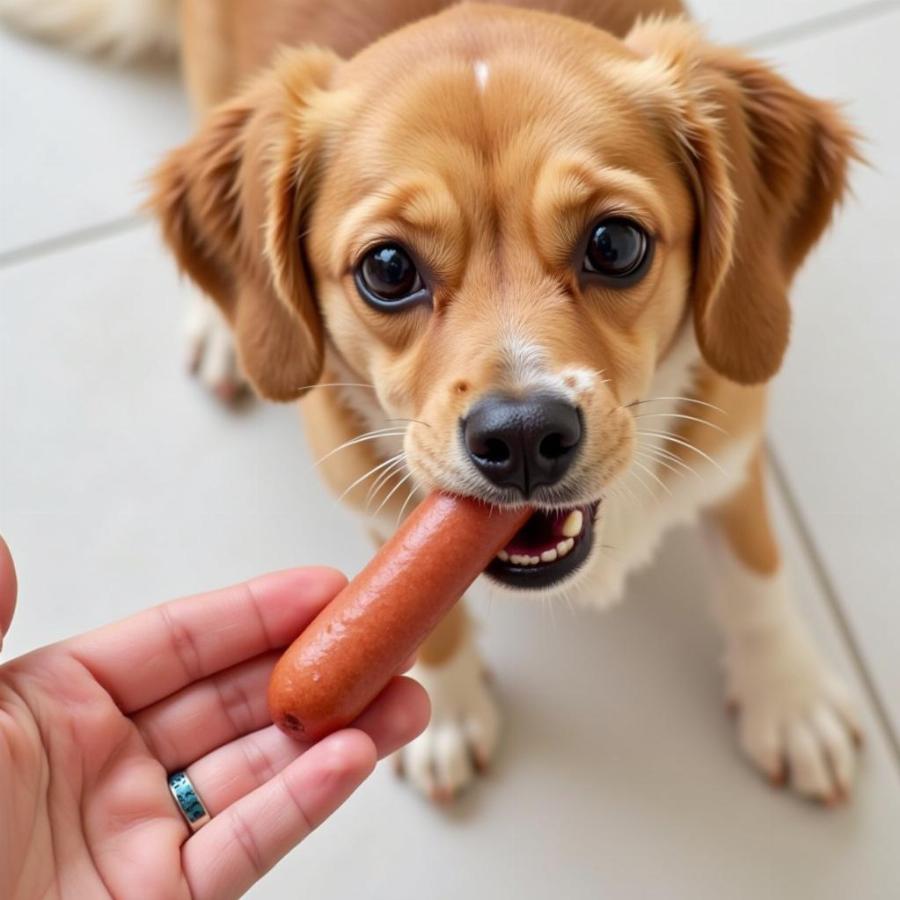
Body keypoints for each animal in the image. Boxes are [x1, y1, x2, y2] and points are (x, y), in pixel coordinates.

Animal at [5, 0, 864, 800]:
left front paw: (789, 697)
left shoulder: (734, 443)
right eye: (387, 268)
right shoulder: (377, 506)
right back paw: (224, 331)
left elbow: (756, 573)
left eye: (615, 243)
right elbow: (435, 619)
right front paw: (447, 710)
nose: (523, 436)